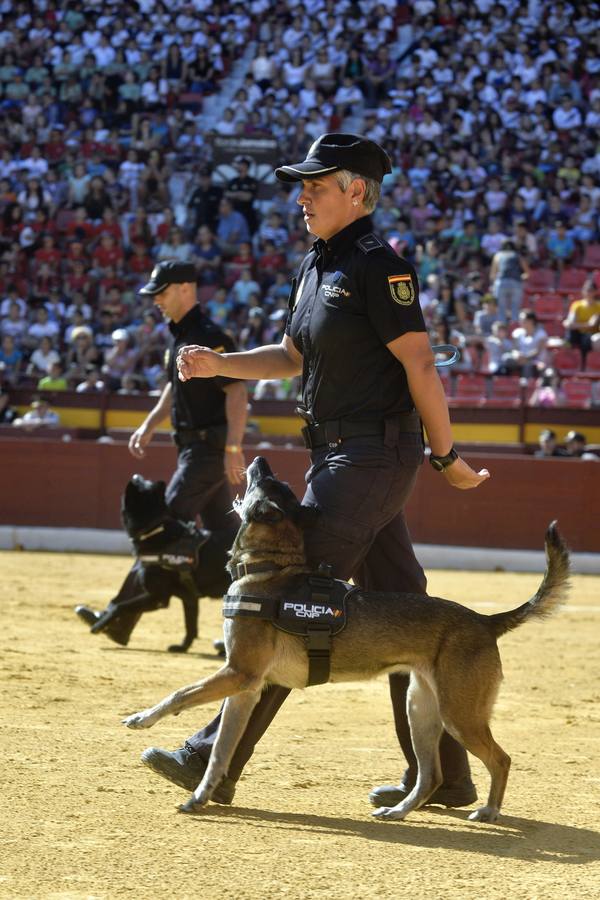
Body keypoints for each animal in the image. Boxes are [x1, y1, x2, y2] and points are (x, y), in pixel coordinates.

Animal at [74, 474, 232, 652]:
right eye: (146, 482)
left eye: (141, 484)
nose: (136, 475)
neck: (156, 529)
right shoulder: (189, 598)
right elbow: (190, 625)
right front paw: (182, 647)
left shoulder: (158, 597)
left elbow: (120, 606)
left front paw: (99, 626)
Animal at [122, 458, 568, 824]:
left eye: (265, 482)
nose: (260, 458)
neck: (270, 568)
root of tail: (484, 621)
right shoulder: (245, 689)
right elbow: (219, 753)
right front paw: (199, 795)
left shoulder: (237, 674)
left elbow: (180, 694)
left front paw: (142, 718)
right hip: (421, 709)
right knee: (431, 775)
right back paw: (398, 810)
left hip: (460, 714)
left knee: (500, 759)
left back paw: (488, 811)